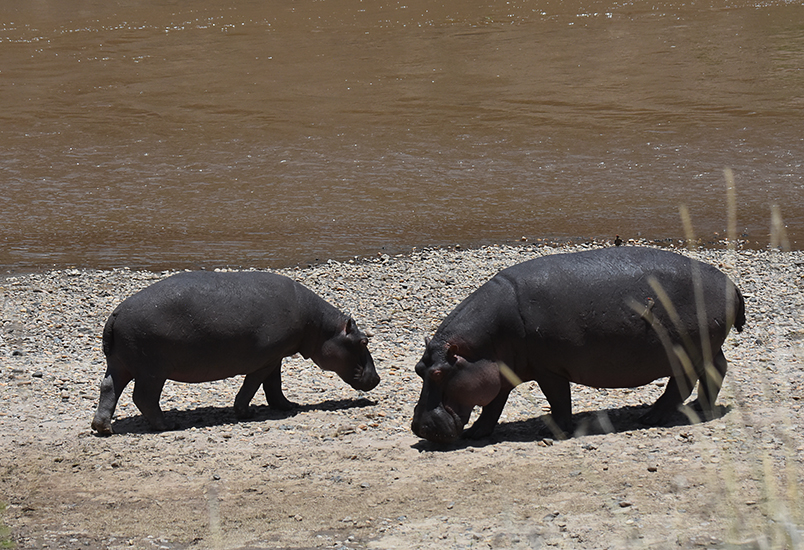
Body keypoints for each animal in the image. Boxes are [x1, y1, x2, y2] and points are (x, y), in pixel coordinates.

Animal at [91, 272, 380, 436]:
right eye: (364, 340)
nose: (377, 379)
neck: (320, 327)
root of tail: (116, 313)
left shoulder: (276, 357)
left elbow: (274, 385)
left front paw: (288, 406)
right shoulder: (266, 359)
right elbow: (253, 384)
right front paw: (244, 412)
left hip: (120, 365)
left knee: (108, 388)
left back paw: (103, 428)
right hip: (152, 371)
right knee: (144, 397)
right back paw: (166, 426)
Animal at [414, 248, 748, 446]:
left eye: (440, 374)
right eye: (418, 369)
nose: (418, 428)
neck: (476, 350)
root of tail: (732, 284)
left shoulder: (548, 370)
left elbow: (558, 399)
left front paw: (551, 430)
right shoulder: (501, 373)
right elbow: (492, 405)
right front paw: (476, 433)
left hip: (688, 351)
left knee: (682, 383)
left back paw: (652, 418)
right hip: (705, 348)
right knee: (715, 370)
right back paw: (699, 408)